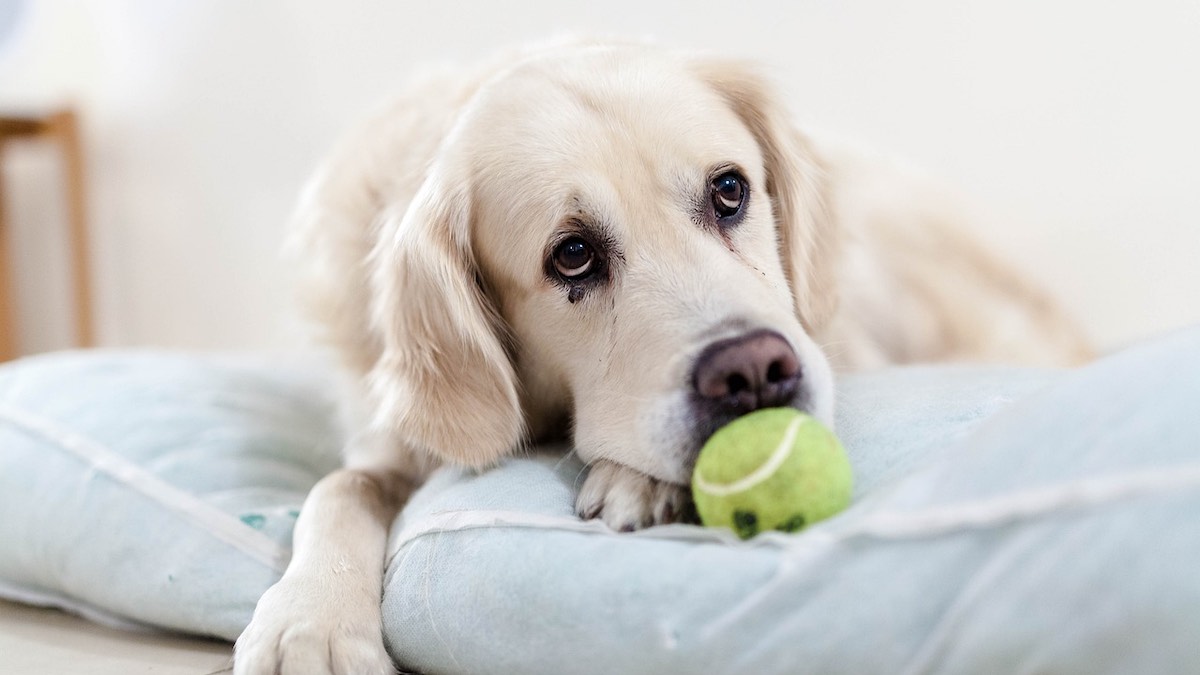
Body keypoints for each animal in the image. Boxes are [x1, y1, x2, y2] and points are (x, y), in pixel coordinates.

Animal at [229, 38, 1094, 672]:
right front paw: (309, 623)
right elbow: (339, 488)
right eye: (572, 255)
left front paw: (640, 477)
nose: (753, 370)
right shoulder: (390, 439)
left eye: (730, 190)